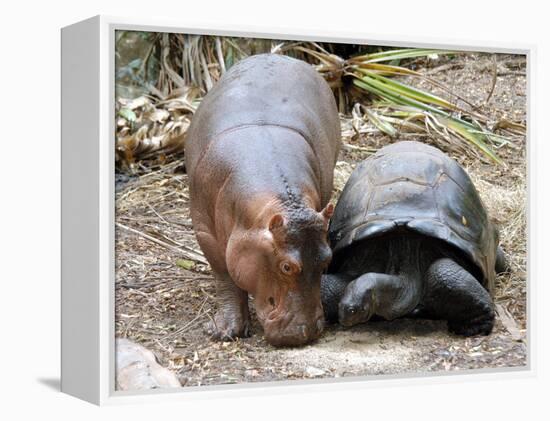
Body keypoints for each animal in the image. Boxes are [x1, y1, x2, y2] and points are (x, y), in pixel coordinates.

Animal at [187, 54, 340, 346]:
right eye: (287, 267)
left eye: (327, 259)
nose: (307, 331)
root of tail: (278, 55)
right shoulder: (205, 232)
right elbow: (224, 276)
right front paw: (224, 332)